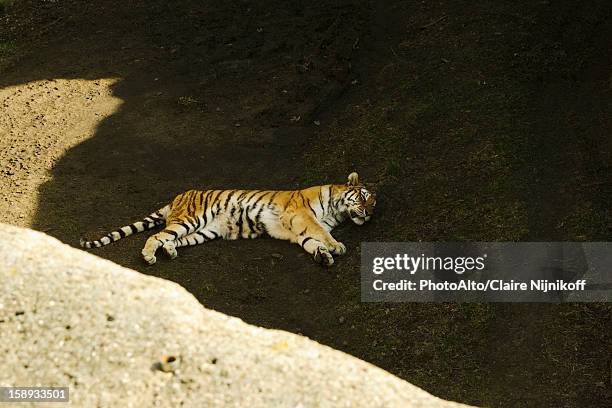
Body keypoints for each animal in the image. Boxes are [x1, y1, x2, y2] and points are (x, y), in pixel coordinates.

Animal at [79, 171, 376, 264]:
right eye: (364, 198)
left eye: (374, 203)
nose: (369, 214)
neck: (338, 211)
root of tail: (177, 197)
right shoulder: (302, 216)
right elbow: (321, 234)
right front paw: (336, 246)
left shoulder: (297, 231)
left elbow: (311, 243)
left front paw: (323, 256)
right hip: (189, 221)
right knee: (156, 236)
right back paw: (149, 256)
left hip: (202, 232)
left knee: (171, 240)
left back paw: (170, 252)